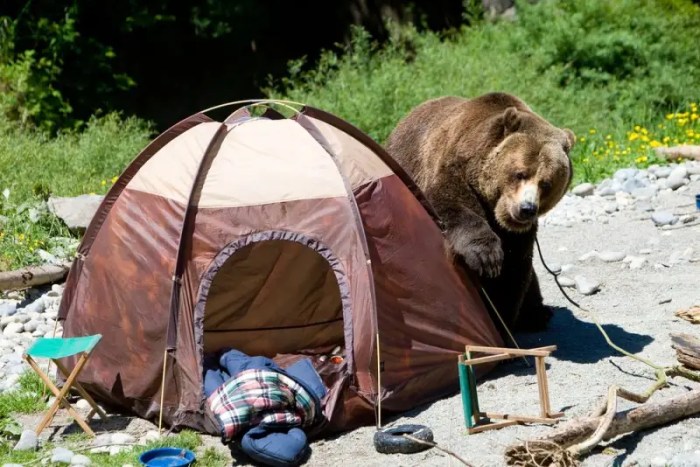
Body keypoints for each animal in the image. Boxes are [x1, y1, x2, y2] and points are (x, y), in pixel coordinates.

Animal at [382, 92, 576, 332]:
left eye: (547, 183)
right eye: (520, 173)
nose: (527, 209)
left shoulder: (518, 234)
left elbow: (514, 269)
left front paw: (502, 317)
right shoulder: (454, 170)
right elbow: (453, 206)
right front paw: (486, 257)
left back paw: (538, 314)